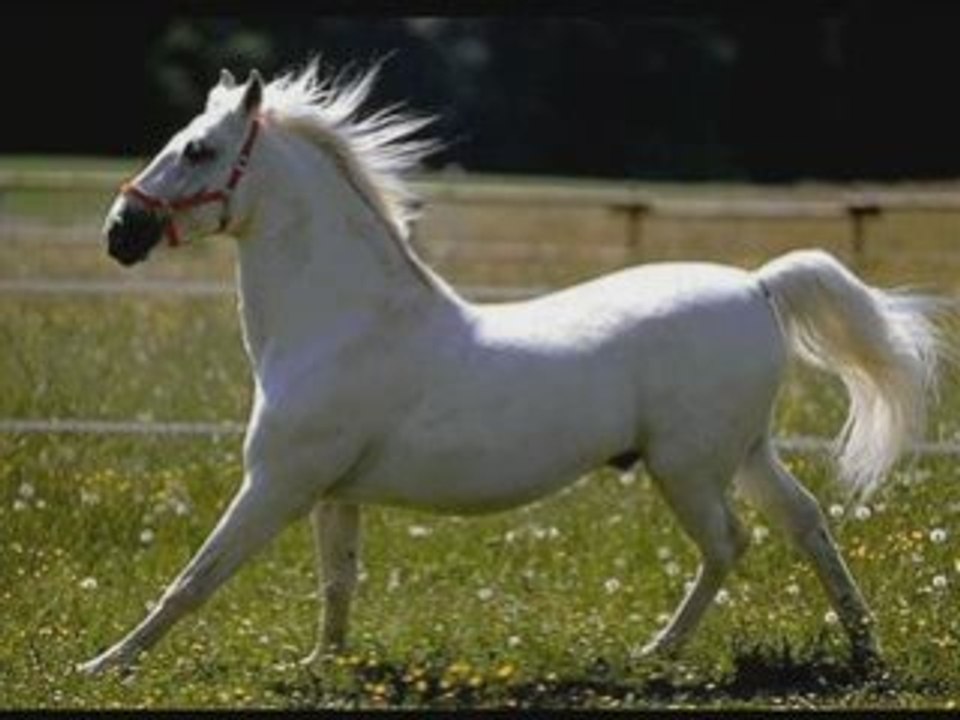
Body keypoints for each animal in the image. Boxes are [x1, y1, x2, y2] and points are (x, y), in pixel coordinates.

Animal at [80, 61, 949, 676]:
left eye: (199, 148)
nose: (119, 232)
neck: (341, 321)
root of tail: (758, 285)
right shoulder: (331, 492)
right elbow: (337, 584)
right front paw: (321, 664)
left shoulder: (277, 484)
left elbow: (195, 578)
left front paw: (104, 664)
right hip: (745, 453)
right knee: (805, 523)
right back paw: (863, 650)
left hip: (689, 466)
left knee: (730, 544)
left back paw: (657, 652)